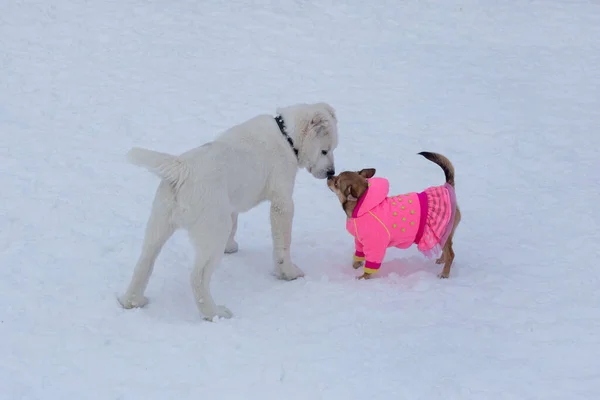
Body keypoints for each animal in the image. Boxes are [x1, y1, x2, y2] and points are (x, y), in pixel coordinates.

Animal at [117, 101, 338, 320]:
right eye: (324, 151)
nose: (331, 173)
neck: (286, 135)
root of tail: (182, 168)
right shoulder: (282, 202)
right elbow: (283, 243)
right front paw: (288, 273)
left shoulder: (231, 204)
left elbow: (235, 222)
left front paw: (230, 247)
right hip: (213, 230)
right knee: (197, 277)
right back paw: (214, 313)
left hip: (159, 222)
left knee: (144, 262)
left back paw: (132, 301)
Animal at [326, 152, 462, 280]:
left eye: (336, 183)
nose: (329, 176)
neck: (362, 205)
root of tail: (447, 187)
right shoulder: (360, 241)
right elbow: (358, 255)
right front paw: (356, 266)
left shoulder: (375, 245)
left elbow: (370, 265)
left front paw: (363, 277)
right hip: (443, 234)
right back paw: (442, 260)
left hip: (441, 232)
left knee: (451, 254)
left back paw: (445, 273)